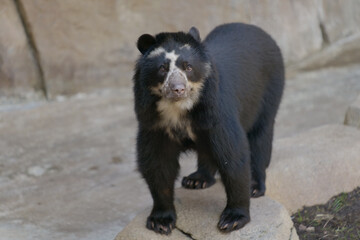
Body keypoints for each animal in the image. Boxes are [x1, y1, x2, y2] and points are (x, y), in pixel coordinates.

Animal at [132, 22, 284, 234]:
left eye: (188, 67)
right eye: (162, 68)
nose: (178, 89)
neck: (178, 109)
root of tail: (258, 30)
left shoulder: (216, 111)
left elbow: (232, 155)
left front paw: (233, 218)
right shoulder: (153, 122)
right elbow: (157, 163)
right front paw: (160, 221)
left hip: (268, 91)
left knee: (260, 136)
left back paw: (255, 185)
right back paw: (197, 179)